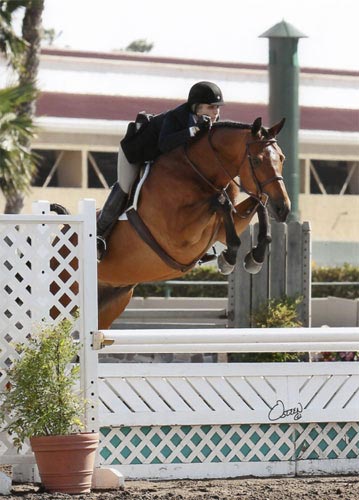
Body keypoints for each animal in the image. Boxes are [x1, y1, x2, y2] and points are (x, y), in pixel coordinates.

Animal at [96, 116, 292, 328]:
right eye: (256, 160)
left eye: (282, 158)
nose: (283, 209)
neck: (199, 173)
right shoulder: (177, 236)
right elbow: (221, 202)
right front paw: (228, 259)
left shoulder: (222, 229)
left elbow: (258, 201)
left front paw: (255, 257)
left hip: (112, 301)